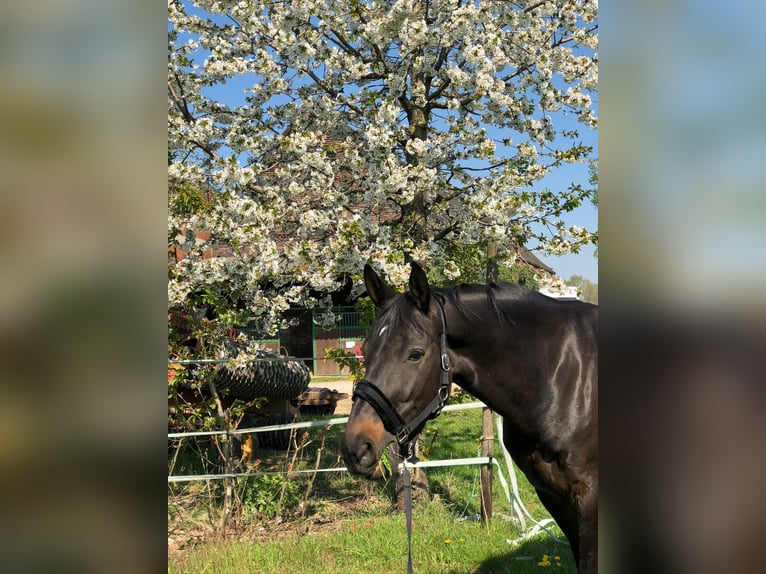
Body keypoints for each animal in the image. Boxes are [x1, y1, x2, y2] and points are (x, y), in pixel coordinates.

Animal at [342, 264, 600, 574]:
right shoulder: (553, 496)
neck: (562, 377)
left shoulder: (589, 501)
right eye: (366, 350)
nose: (355, 447)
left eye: (415, 353)